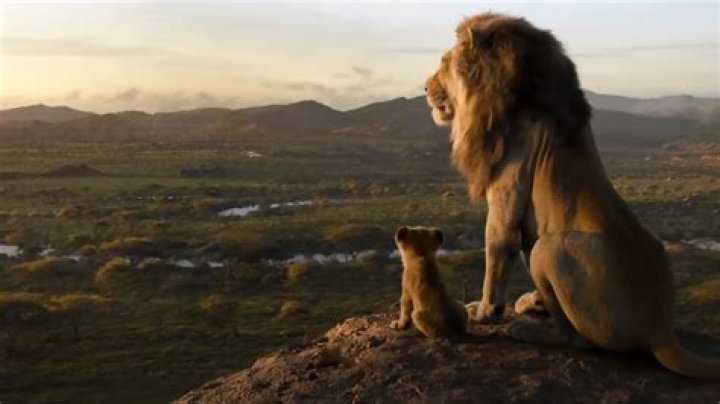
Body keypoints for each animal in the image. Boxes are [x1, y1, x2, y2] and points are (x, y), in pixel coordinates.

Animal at [425, 12, 720, 378]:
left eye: (443, 63)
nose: (425, 87)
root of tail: (660, 330)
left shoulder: (507, 187)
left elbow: (498, 247)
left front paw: (484, 311)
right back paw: (534, 304)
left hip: (550, 250)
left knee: (578, 339)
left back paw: (527, 328)